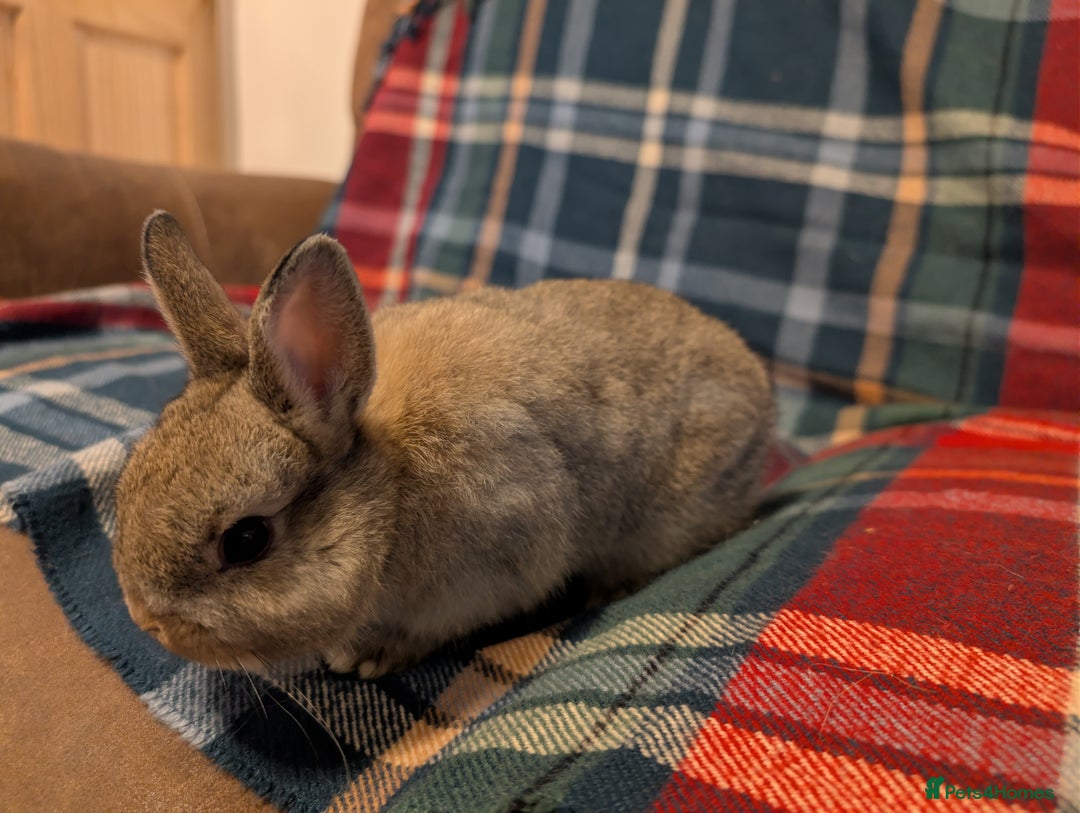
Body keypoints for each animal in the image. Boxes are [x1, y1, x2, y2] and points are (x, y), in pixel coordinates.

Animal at [113, 211, 774, 679]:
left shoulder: (501, 558)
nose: (147, 622)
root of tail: (763, 397)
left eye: (246, 540)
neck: (388, 492)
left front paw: (365, 657)